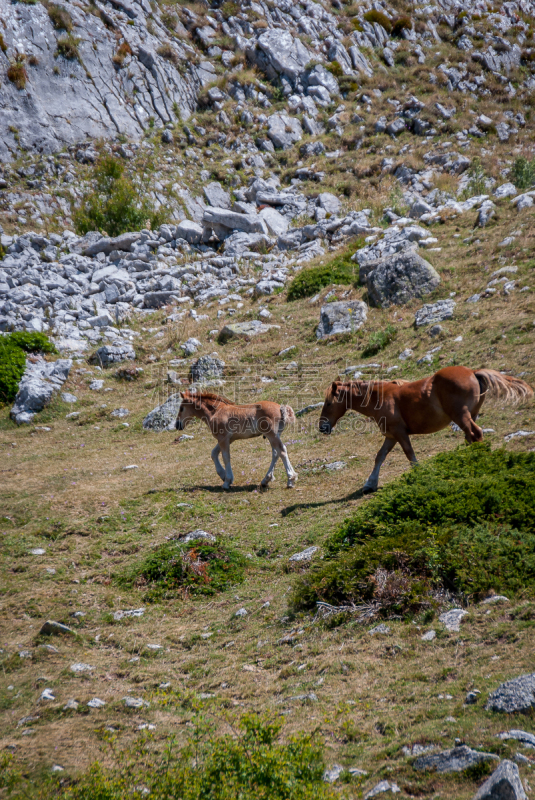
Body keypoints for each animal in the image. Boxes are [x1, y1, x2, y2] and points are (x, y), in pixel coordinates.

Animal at [320, 368, 532, 494]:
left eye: (329, 403)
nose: (322, 427)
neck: (379, 398)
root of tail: (473, 372)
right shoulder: (391, 436)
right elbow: (379, 457)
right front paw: (370, 484)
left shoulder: (400, 433)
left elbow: (409, 454)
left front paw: (419, 475)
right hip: (471, 415)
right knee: (470, 437)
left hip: (461, 416)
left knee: (476, 434)